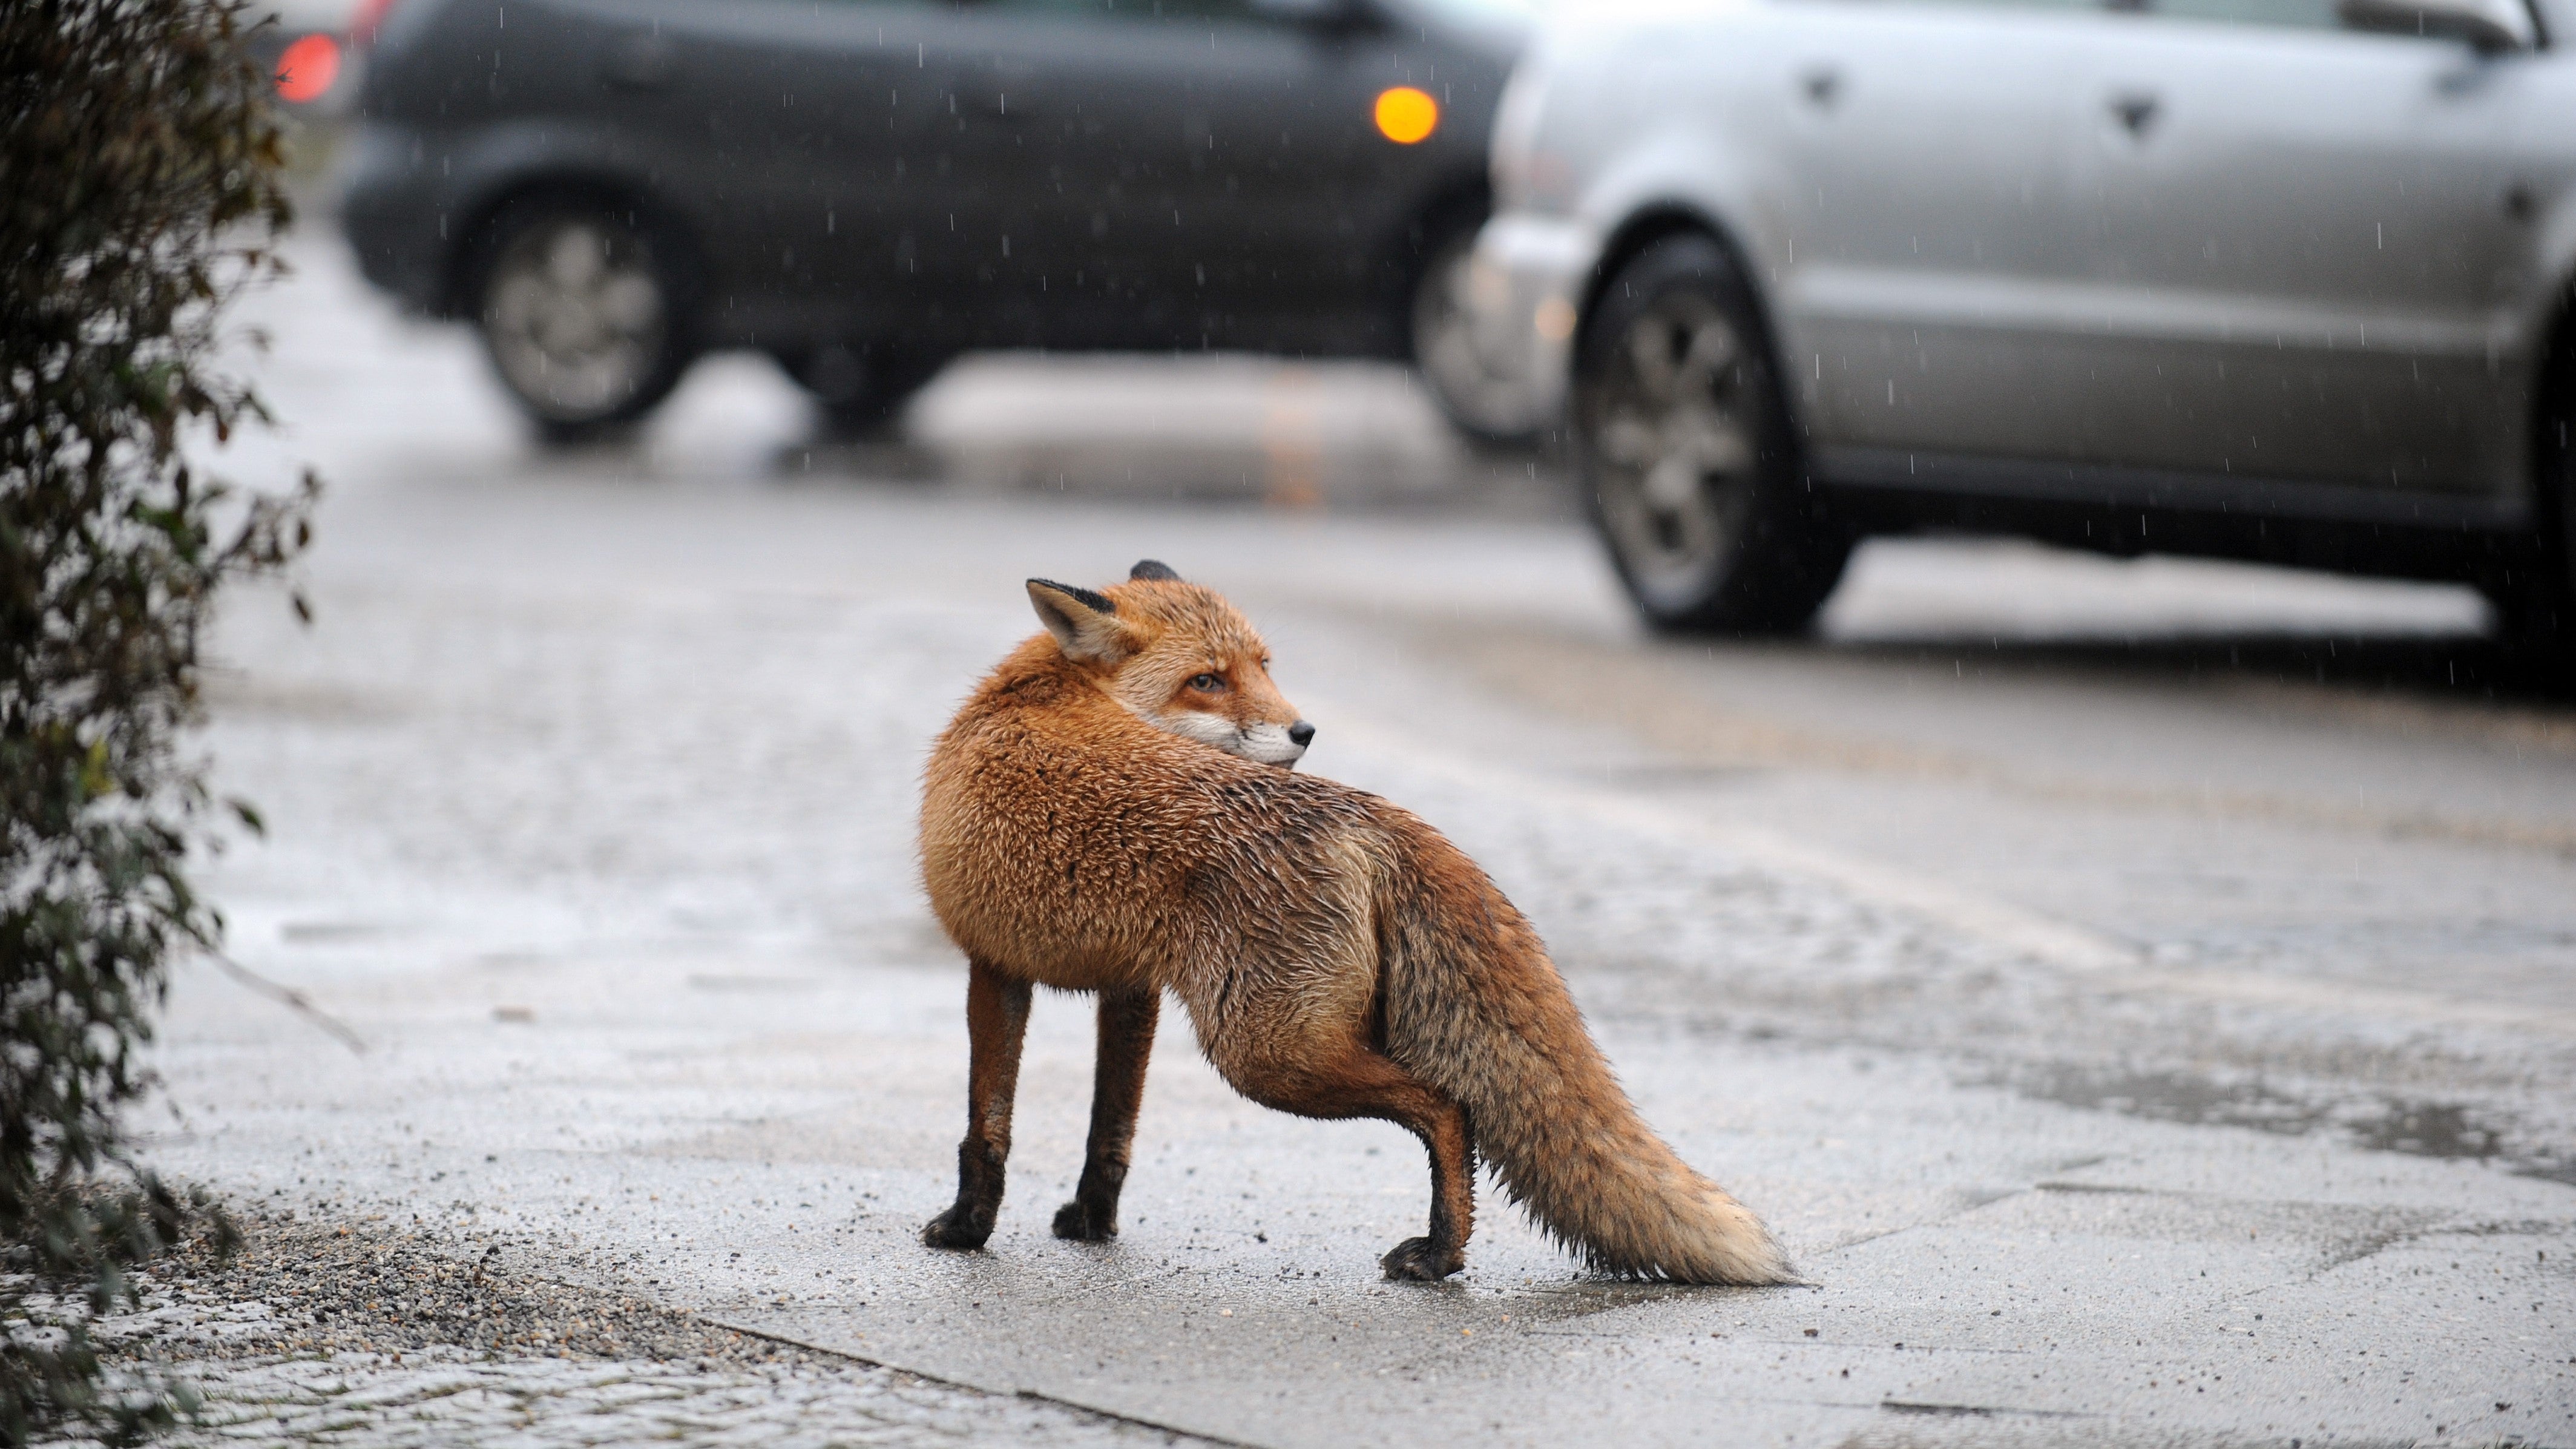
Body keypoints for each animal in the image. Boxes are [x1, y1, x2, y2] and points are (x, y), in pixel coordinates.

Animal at [915, 560, 1791, 1284]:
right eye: (1207, 680)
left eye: (1261, 667)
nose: (1305, 730)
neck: (1045, 692)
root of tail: (1368, 811)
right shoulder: (1131, 990)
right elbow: (1111, 1126)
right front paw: (1092, 1223)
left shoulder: (990, 963)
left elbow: (985, 1123)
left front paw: (966, 1229)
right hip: (1283, 1040)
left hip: (1265, 1051)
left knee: (1448, 1106)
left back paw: (1439, 1253)